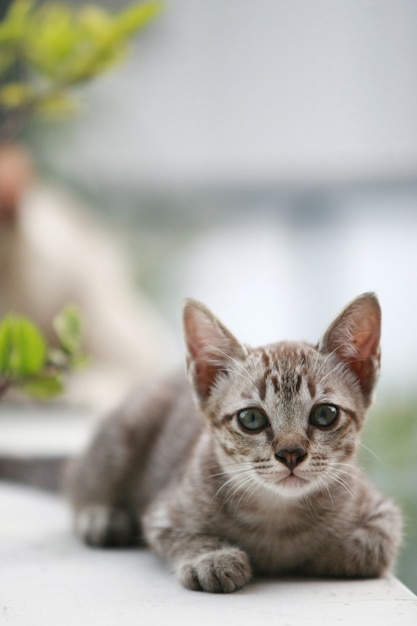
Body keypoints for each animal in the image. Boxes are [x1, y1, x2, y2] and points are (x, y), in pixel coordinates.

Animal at [66, 292, 402, 588]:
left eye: (325, 414)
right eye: (251, 418)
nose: (291, 454)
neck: (277, 513)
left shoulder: (384, 516)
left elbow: (367, 548)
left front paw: (317, 552)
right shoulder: (163, 513)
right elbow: (180, 536)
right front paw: (212, 558)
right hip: (129, 430)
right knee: (79, 483)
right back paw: (101, 516)